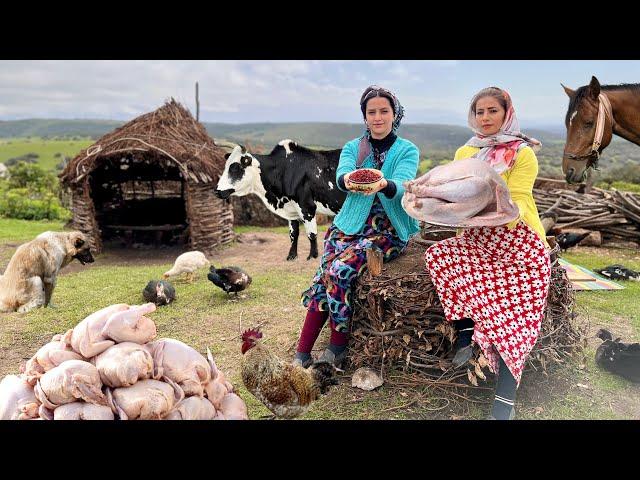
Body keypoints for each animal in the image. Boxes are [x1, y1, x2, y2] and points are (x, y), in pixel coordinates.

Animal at [214, 140, 344, 258]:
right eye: (226, 166)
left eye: (236, 168)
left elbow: (312, 234)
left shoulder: (307, 207)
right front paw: (292, 256)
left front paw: (312, 256)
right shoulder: (291, 211)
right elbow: (293, 234)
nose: (216, 191)